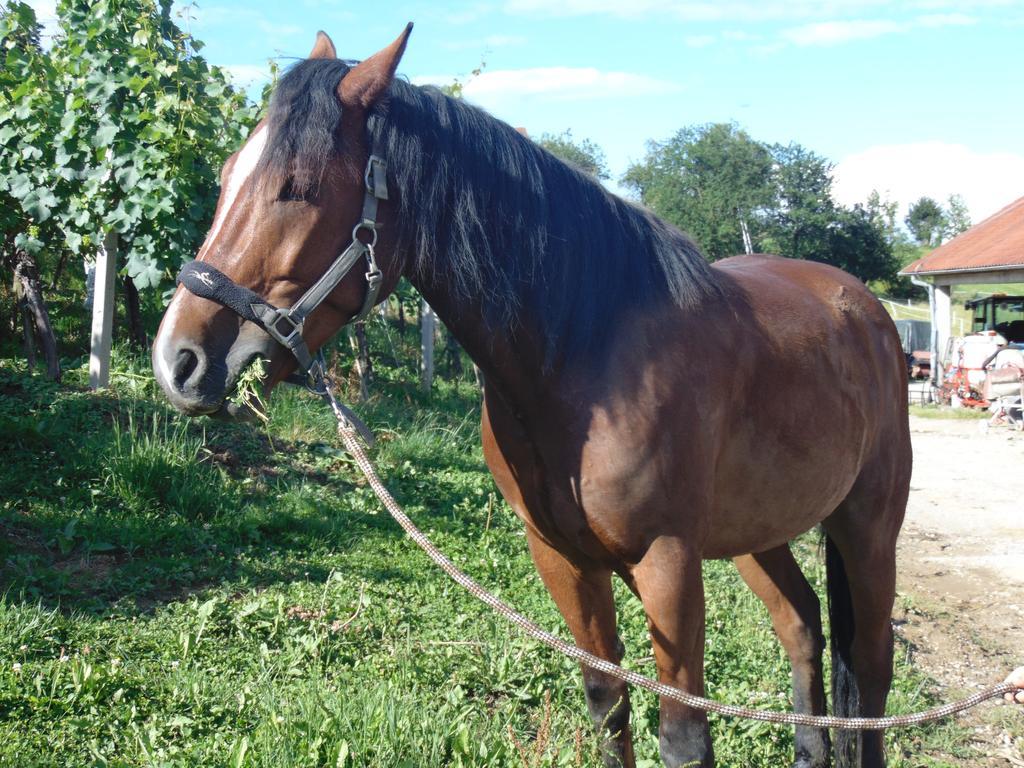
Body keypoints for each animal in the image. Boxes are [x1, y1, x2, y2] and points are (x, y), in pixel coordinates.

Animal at [153, 27, 913, 765]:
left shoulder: (667, 561)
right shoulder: (563, 558)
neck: (584, 359)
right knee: (803, 627)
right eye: (226, 174)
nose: (178, 361)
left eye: (299, 187)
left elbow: (685, 740)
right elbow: (608, 706)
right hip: (758, 533)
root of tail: (867, 310)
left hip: (867, 526)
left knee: (870, 671)